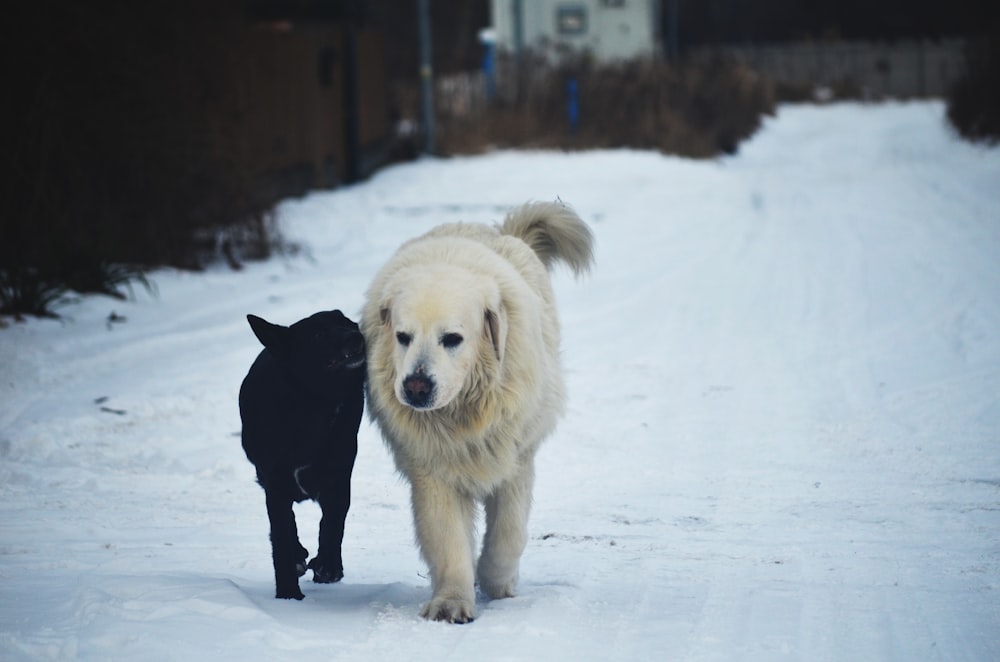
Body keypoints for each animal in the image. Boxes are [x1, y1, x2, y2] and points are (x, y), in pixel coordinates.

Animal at [239, 312, 368, 600]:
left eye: (344, 321)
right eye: (317, 335)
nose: (356, 335)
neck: (313, 404)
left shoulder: (338, 478)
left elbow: (332, 525)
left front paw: (328, 566)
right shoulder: (275, 484)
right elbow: (282, 537)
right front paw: (288, 593)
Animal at [360, 201, 592, 624]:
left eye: (452, 339)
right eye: (402, 337)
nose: (416, 386)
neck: (463, 414)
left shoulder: (515, 459)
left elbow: (507, 534)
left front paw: (495, 580)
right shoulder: (433, 470)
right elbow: (447, 539)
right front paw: (452, 601)